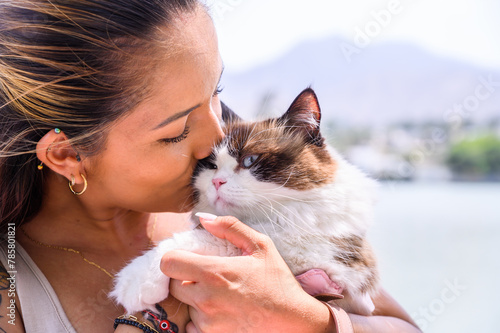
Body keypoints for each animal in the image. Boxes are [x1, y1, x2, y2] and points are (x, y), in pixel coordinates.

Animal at [111, 87, 378, 314]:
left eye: (249, 160)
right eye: (211, 165)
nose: (217, 182)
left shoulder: (326, 261)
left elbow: (207, 237)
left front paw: (136, 279)